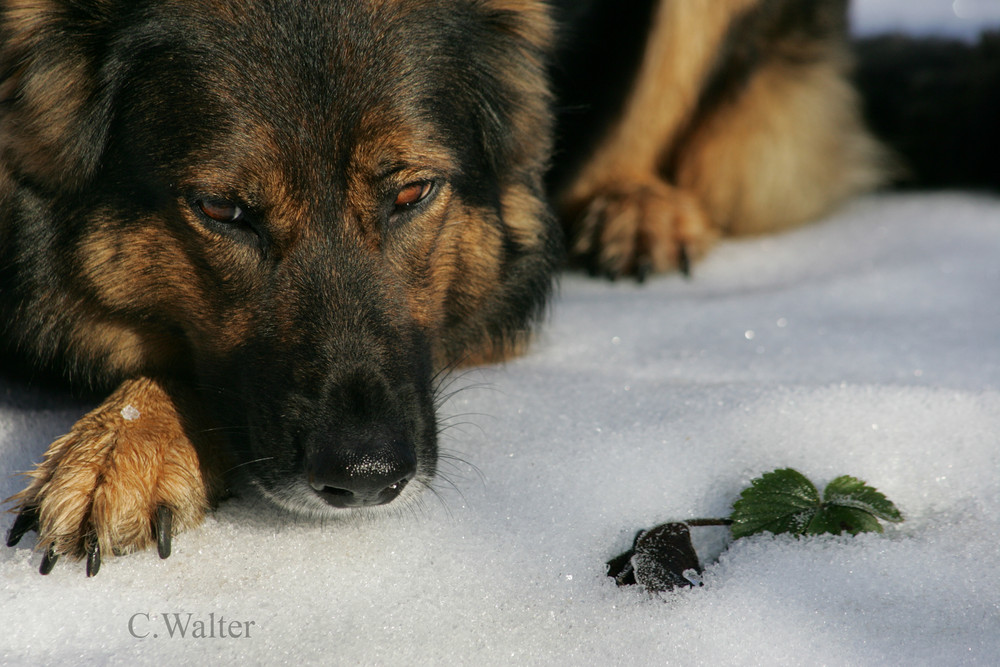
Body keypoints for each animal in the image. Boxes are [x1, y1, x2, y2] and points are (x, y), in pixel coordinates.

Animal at [1, 0, 892, 576]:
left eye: (411, 192)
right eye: (223, 209)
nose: (365, 476)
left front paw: (128, 443)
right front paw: (124, 440)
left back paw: (638, 207)